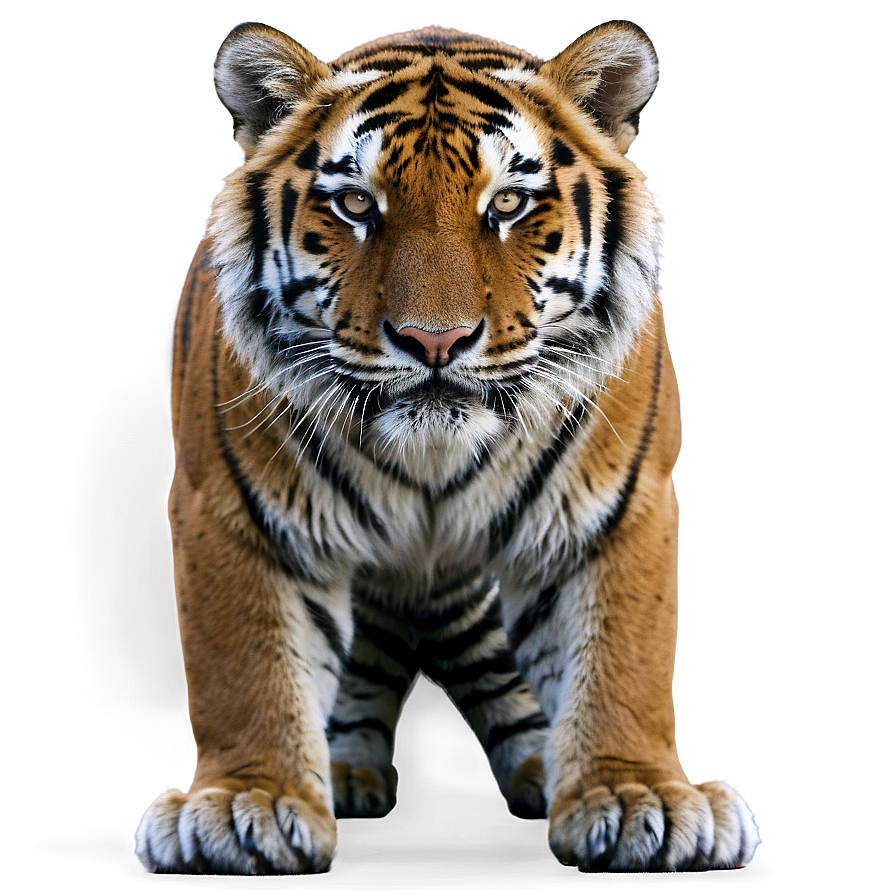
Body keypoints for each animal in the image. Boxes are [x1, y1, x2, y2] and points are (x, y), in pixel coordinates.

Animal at [134, 20, 760, 874]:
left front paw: (638, 796)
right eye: (356, 203)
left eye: (509, 203)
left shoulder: (618, 511)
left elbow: (625, 656)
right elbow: (245, 666)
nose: (436, 341)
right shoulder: (233, 511)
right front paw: (246, 803)